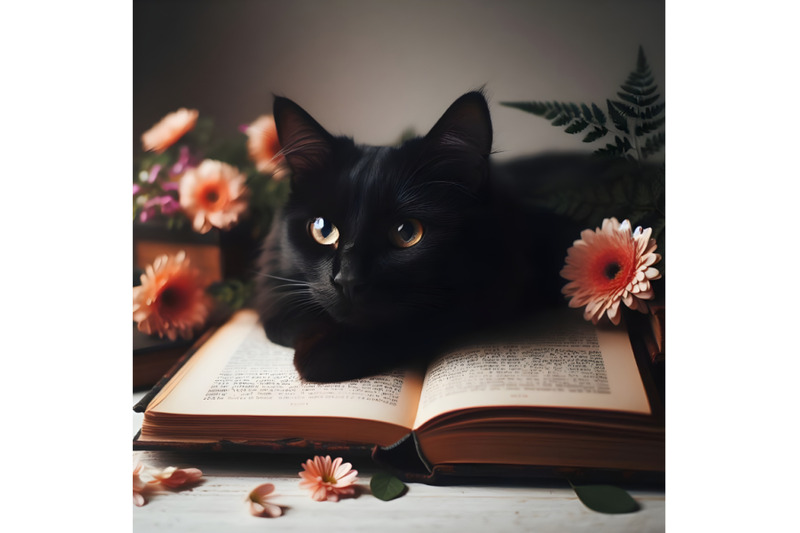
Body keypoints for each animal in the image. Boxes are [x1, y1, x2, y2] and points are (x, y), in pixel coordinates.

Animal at [256, 91, 600, 382]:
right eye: (323, 230)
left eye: (407, 232)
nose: (347, 280)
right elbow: (279, 319)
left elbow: (420, 323)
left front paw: (321, 358)